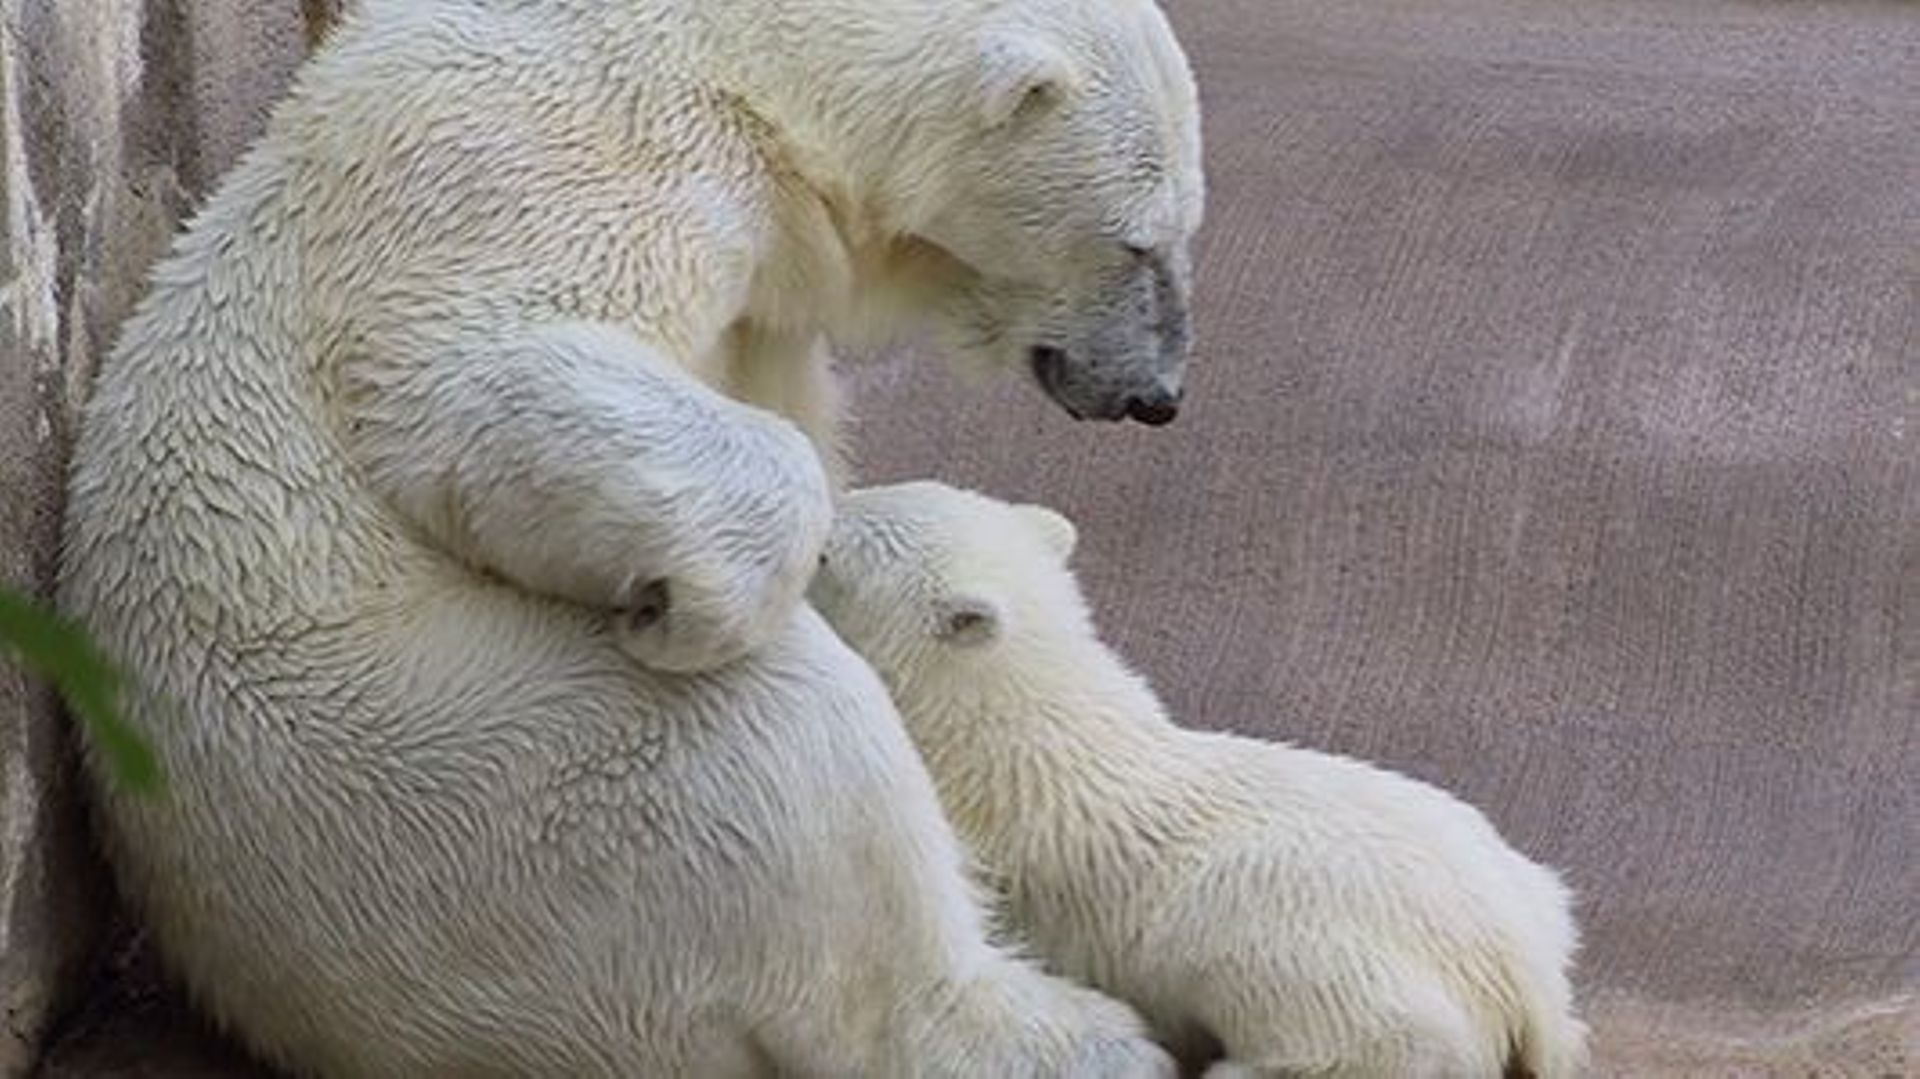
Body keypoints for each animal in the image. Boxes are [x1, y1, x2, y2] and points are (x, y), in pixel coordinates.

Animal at [56, 0, 1198, 1067]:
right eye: (1138, 238)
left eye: (1185, 229)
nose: (1157, 395)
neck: (748, 69)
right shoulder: (558, 161)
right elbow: (467, 372)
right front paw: (696, 603)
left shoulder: (758, 294)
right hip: (427, 761)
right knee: (772, 737)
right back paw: (1067, 1033)